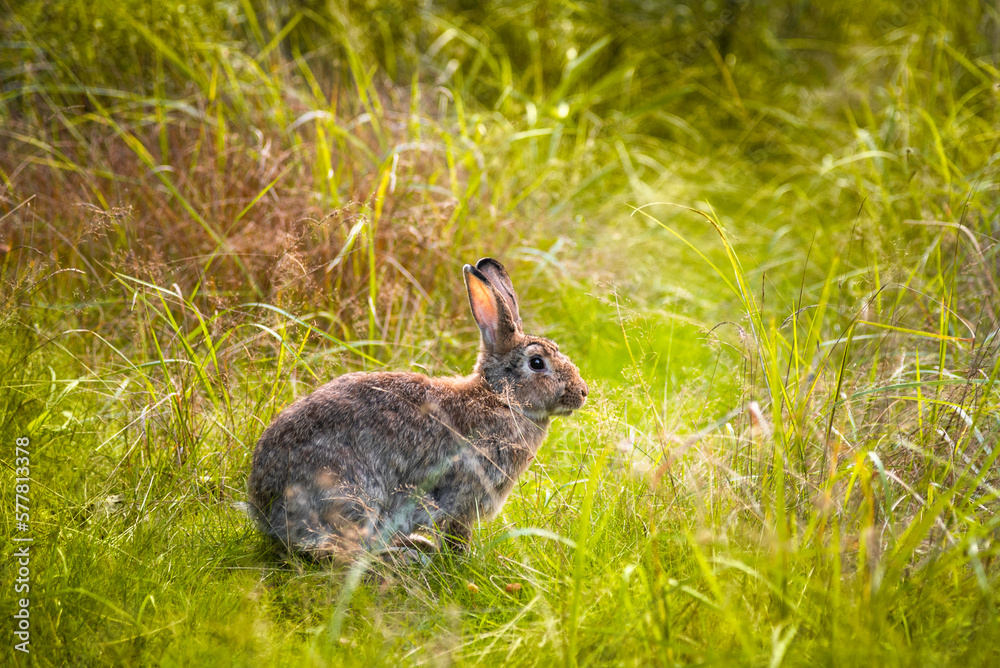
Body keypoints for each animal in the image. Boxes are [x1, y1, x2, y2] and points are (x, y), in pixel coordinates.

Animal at [247, 258, 588, 561]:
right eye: (537, 363)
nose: (582, 393)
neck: (501, 399)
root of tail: (266, 510)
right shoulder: (463, 495)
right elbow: (456, 536)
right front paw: (463, 561)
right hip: (354, 495)